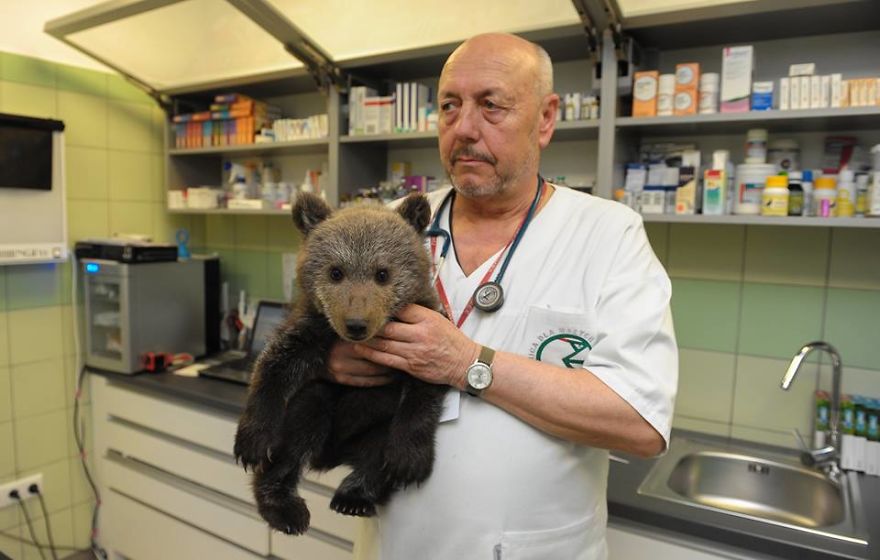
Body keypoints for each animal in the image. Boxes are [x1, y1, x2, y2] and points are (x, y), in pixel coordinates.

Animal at [234, 191, 448, 536]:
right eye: (336, 271)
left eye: (382, 273)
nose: (356, 323)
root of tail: (331, 457)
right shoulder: (312, 329)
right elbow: (273, 366)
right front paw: (252, 439)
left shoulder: (425, 335)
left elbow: (425, 389)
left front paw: (410, 458)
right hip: (315, 406)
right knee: (299, 427)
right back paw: (284, 508)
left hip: (377, 422)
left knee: (377, 449)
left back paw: (354, 495)